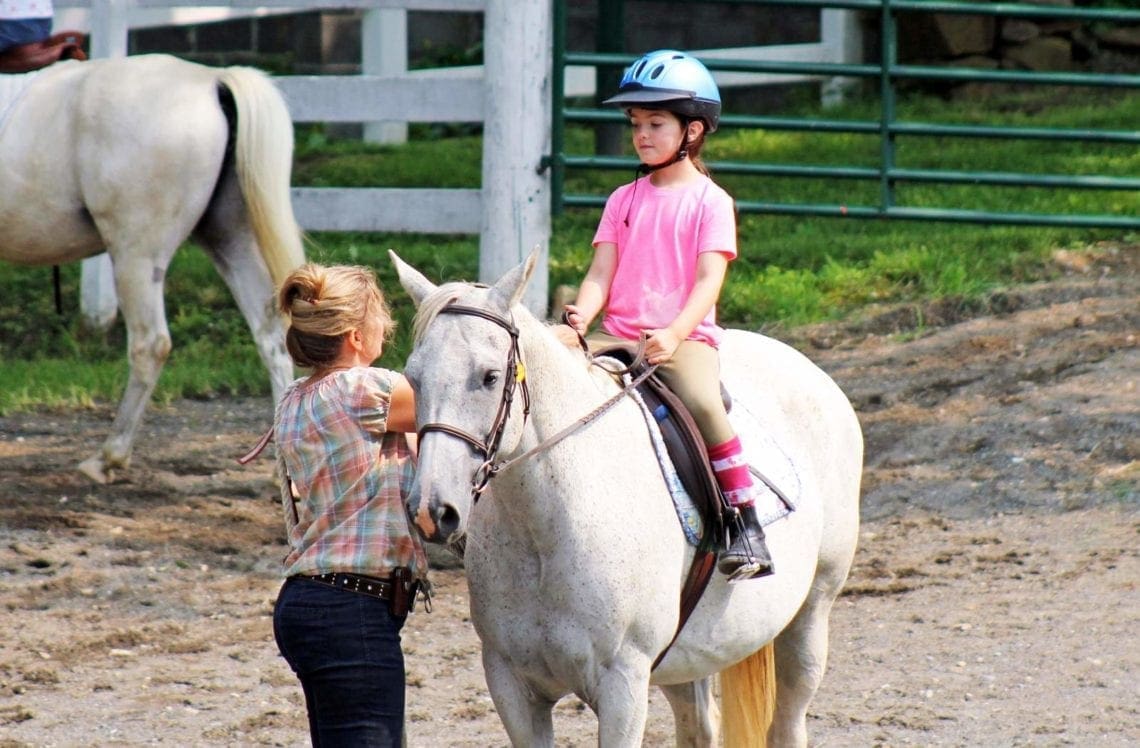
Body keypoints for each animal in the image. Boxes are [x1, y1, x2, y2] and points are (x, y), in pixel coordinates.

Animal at [0, 55, 305, 481]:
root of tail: (212, 80)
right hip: (228, 238)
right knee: (270, 334)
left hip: (137, 257)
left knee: (150, 344)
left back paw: (109, 456)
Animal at [394, 253, 861, 748]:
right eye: (413, 379)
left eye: (489, 376)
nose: (431, 510)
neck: (545, 529)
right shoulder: (512, 686)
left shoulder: (623, 685)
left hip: (811, 613)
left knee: (788, 720)